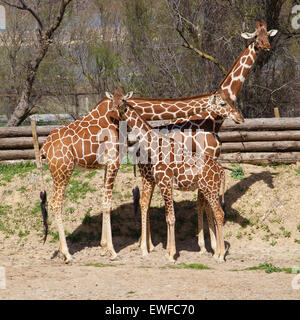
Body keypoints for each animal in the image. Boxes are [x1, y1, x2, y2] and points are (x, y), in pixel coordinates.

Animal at [39, 86, 239, 264]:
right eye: (223, 103)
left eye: (229, 101)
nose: (239, 117)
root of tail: (43, 148)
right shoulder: (119, 165)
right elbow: (115, 204)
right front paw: (115, 250)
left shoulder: (120, 167)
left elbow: (112, 203)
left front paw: (108, 249)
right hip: (63, 171)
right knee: (56, 203)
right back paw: (68, 254)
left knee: (214, 210)